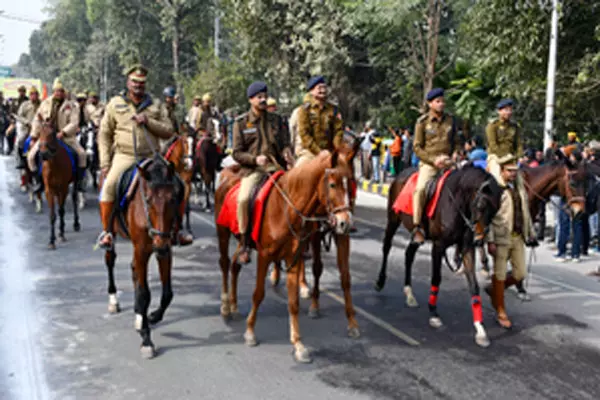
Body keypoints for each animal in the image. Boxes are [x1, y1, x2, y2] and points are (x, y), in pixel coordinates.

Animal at [37, 117, 81, 248]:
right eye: (39, 132)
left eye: (52, 134)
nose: (43, 154)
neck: (54, 164)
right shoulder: (49, 190)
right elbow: (52, 215)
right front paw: (52, 240)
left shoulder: (63, 188)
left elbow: (61, 211)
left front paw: (61, 233)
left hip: (75, 182)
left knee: (74, 198)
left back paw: (76, 223)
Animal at [101, 152, 183, 360]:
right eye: (148, 199)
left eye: (173, 199)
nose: (160, 244)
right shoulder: (142, 249)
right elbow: (144, 293)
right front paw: (146, 339)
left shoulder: (165, 248)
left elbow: (167, 293)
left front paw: (151, 316)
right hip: (111, 234)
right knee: (110, 260)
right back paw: (113, 300)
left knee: (134, 271)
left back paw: (140, 316)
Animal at [214, 149, 356, 362]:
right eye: (333, 184)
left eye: (351, 184)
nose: (344, 223)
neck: (287, 208)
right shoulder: (264, 255)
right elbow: (258, 294)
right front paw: (250, 332)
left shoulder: (293, 258)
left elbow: (293, 302)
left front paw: (298, 344)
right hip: (222, 231)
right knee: (224, 263)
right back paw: (225, 306)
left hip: (241, 240)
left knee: (235, 265)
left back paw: (234, 306)